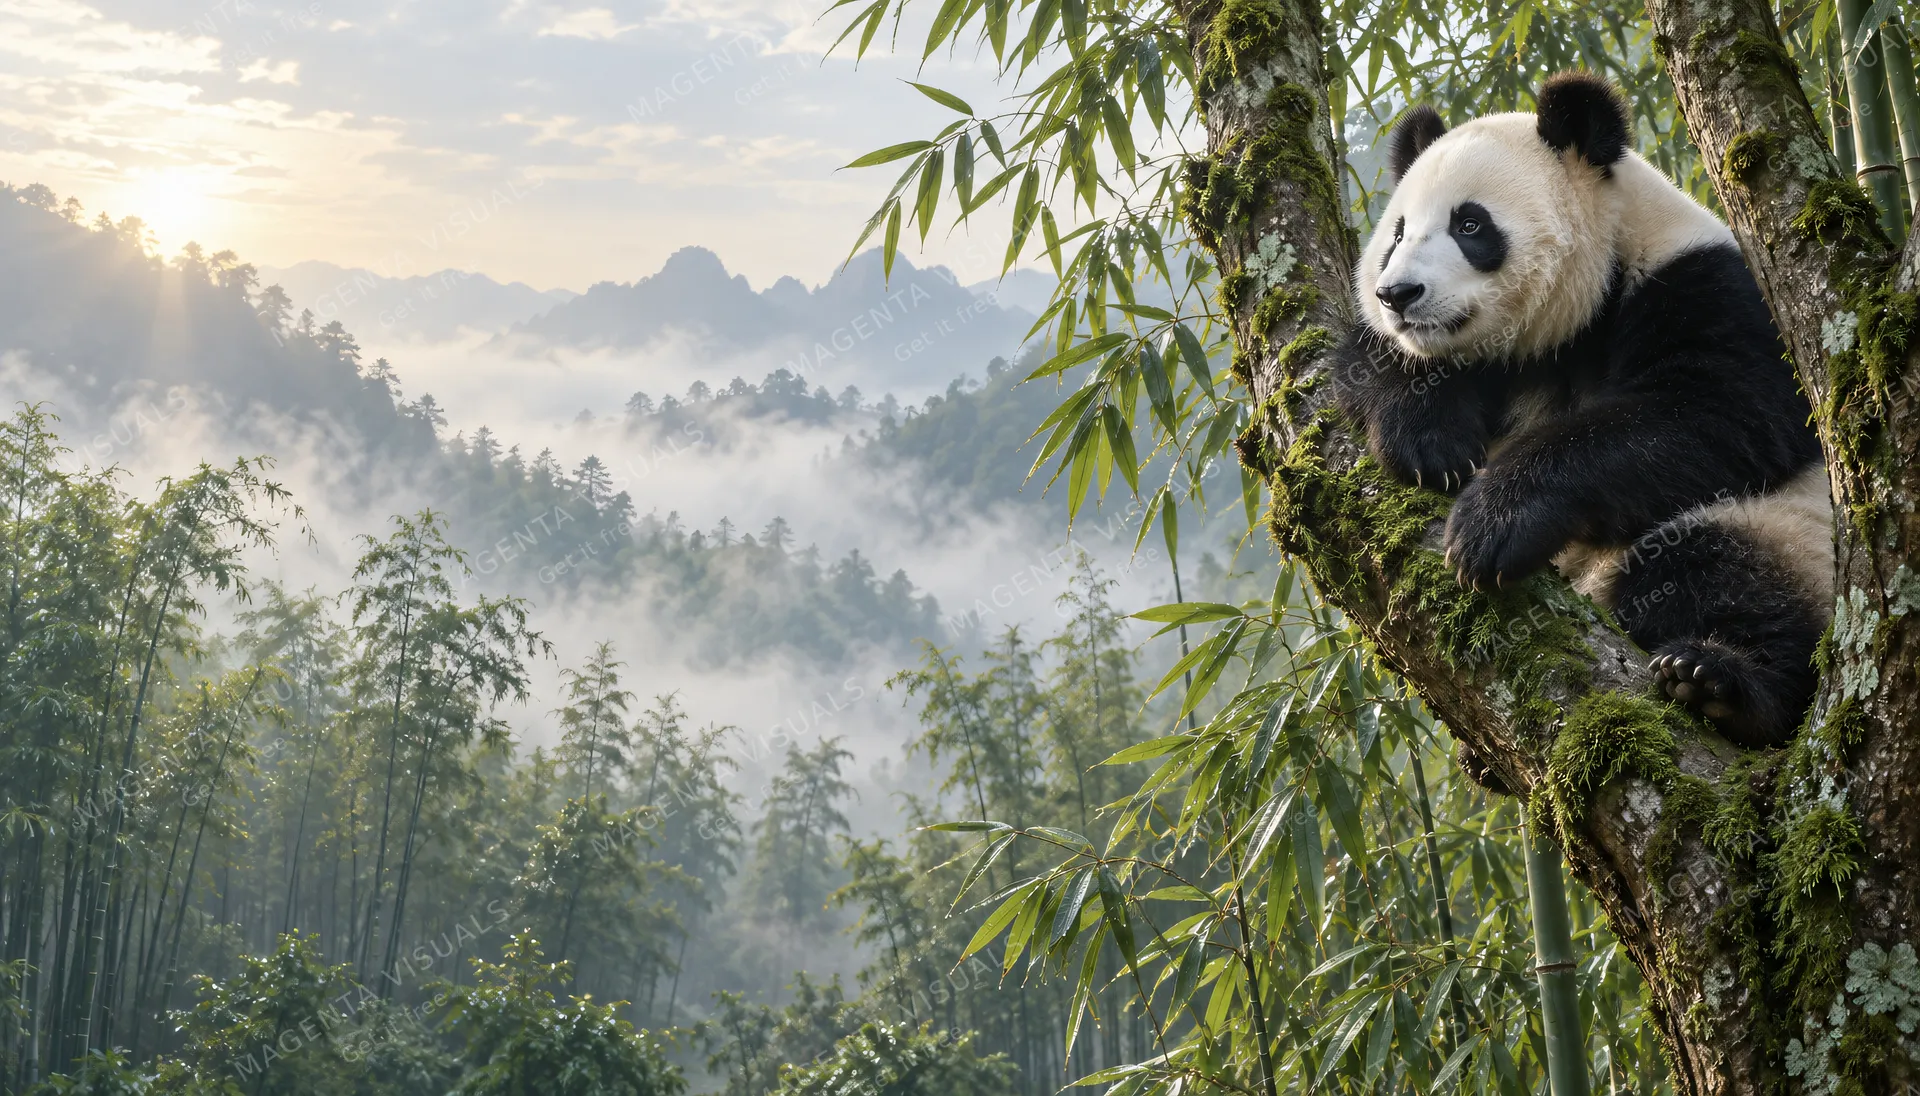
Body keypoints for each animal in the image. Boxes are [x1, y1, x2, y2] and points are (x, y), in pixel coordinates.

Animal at [1329, 72, 1834, 748]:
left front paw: (1494, 522)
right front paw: (1429, 445)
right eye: (1397, 235)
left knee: (1715, 570)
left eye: (1470, 225)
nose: (1400, 294)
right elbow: (1366, 357)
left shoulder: (1707, 287)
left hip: (1790, 531)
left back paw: (1723, 682)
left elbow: (1720, 412)